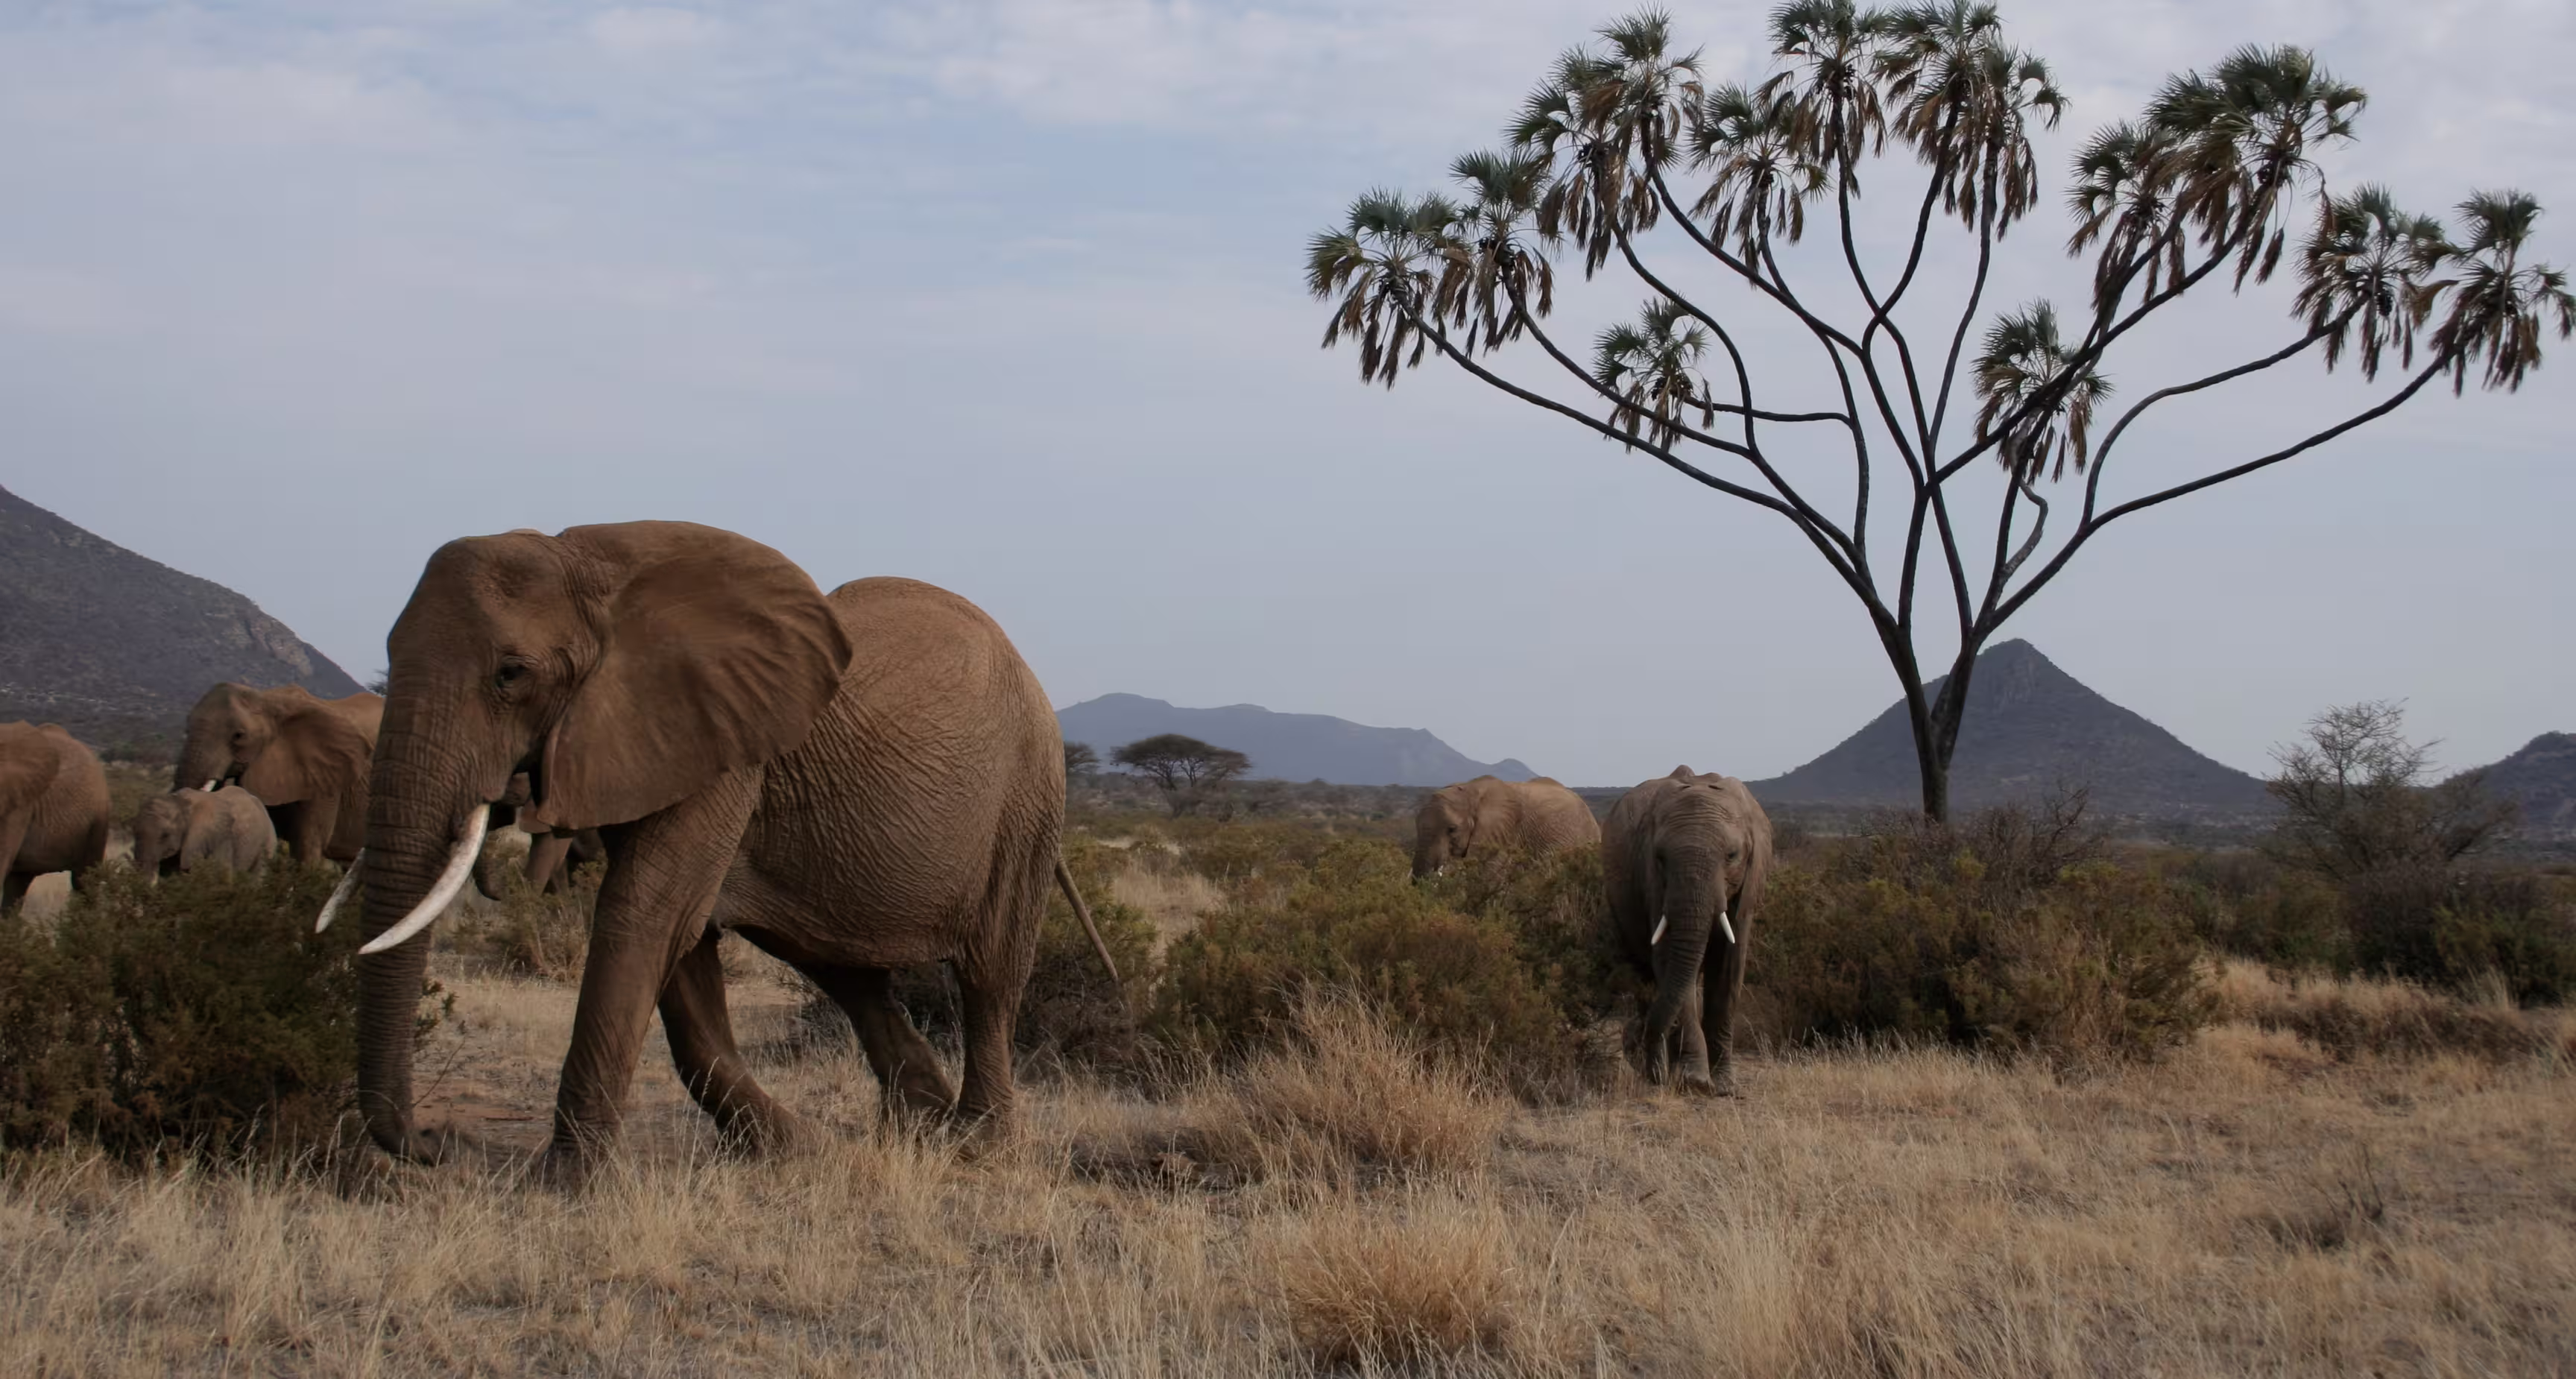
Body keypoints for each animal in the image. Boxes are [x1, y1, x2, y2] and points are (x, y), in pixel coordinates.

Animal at [320, 521, 1118, 1185]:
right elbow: (681, 940)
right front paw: (794, 1152)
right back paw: (919, 1123)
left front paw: (562, 1185)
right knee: (841, 967)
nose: (434, 1145)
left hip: (1028, 800)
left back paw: (975, 1143)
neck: (592, 565)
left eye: (510, 674)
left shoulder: (721, 750)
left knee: (989, 975)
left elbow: (646, 913)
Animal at [1602, 766, 1773, 1097]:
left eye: (1732, 855)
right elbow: (1669, 958)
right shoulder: (1653, 881)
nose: (1632, 1037)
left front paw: (1724, 1085)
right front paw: (1695, 1081)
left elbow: (1730, 967)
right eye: (1660, 858)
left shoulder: (1747, 887)